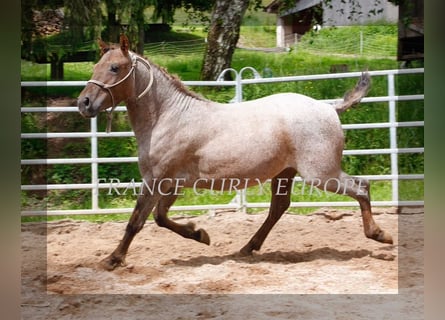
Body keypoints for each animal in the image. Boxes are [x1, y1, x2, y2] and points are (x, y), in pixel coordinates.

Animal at [77, 34, 392, 270]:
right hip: (285, 173)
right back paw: (248, 248)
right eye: (96, 65)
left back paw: (380, 235)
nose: (84, 103)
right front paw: (200, 234)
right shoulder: (173, 183)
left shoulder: (156, 180)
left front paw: (113, 260)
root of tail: (330, 107)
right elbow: (160, 218)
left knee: (362, 187)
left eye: (115, 68)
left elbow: (136, 221)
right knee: (279, 208)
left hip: (321, 174)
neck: (168, 116)